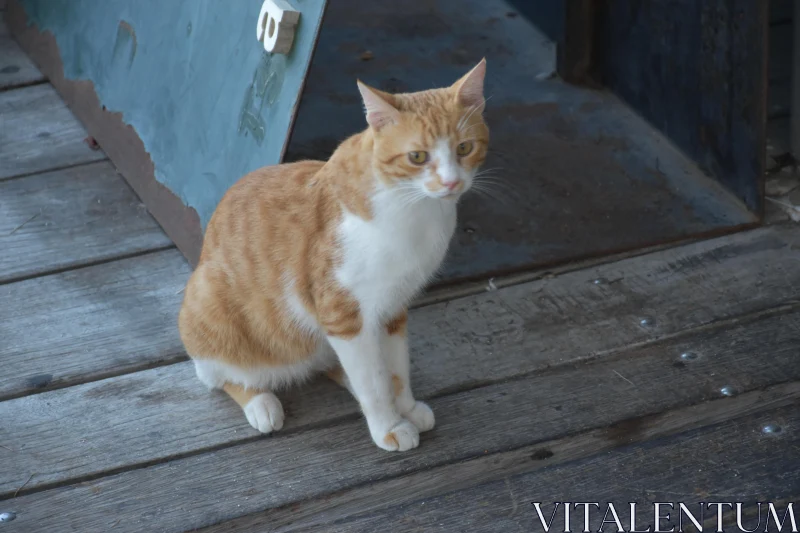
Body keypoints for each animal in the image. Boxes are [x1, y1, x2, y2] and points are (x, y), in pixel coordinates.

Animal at [179, 58, 490, 450]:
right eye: (417, 156)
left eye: (464, 148)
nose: (451, 183)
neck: (415, 210)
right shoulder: (344, 315)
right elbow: (373, 381)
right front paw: (389, 425)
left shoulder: (393, 308)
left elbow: (395, 369)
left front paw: (404, 407)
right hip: (207, 304)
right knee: (217, 374)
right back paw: (260, 401)